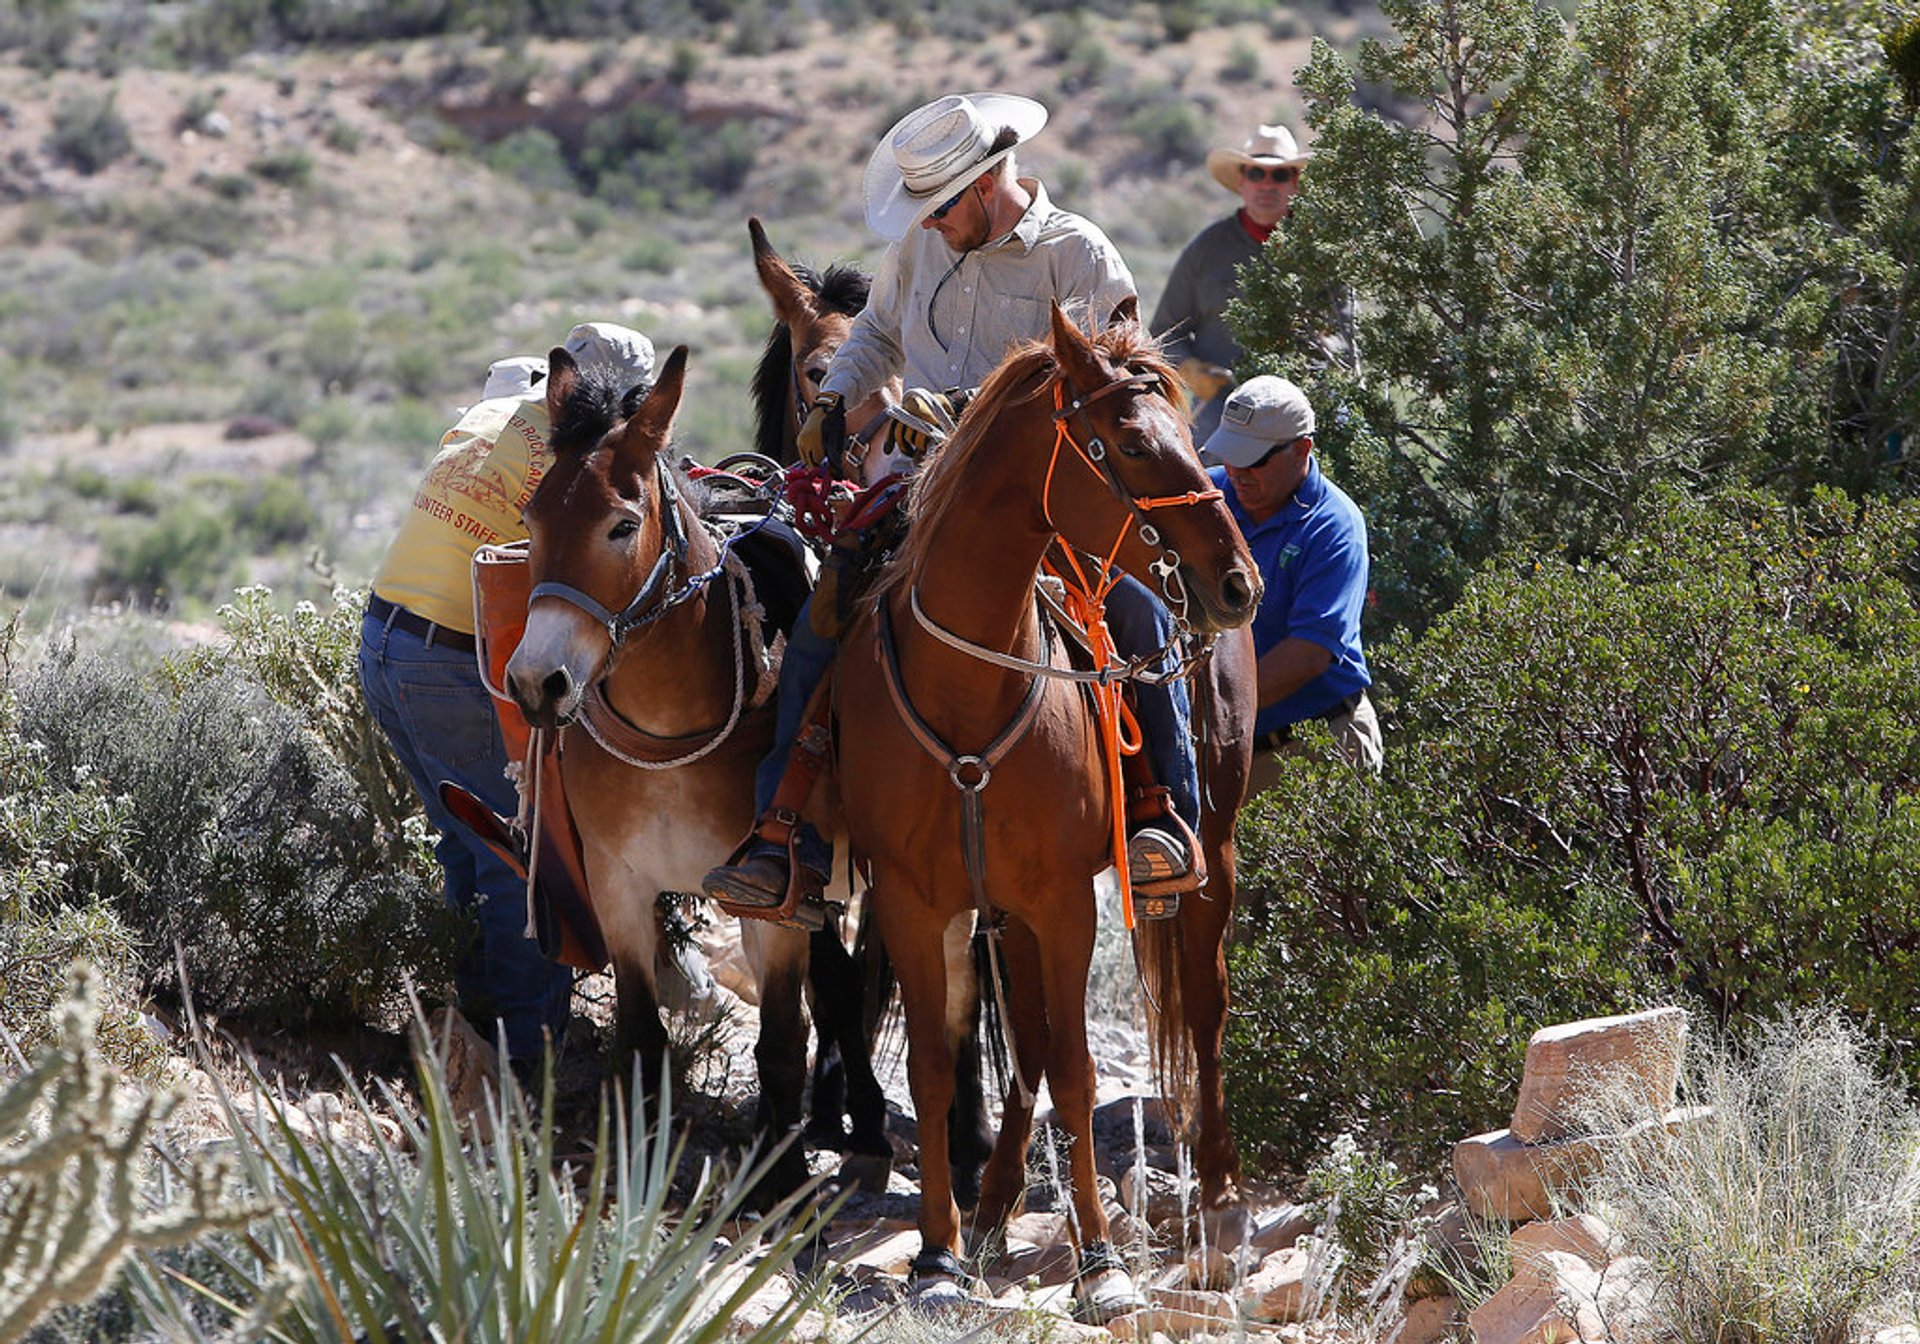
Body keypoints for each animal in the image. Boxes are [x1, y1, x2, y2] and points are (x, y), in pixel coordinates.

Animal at [506, 343, 894, 1198]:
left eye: (622, 525)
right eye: (532, 518)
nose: (536, 682)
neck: (670, 735)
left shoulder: (767, 906)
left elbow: (780, 1040)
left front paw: (778, 1184)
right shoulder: (619, 887)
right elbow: (642, 1037)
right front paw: (640, 1168)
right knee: (841, 988)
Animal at [837, 301, 1259, 1313]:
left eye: (1193, 436)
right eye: (1131, 443)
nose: (1237, 583)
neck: (967, 686)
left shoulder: (1067, 901)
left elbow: (1076, 1066)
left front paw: (1102, 1264)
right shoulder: (918, 903)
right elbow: (938, 1068)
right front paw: (939, 1255)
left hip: (1213, 853)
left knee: (1206, 1007)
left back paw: (1221, 1194)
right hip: (1003, 916)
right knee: (1023, 1044)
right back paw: (993, 1211)